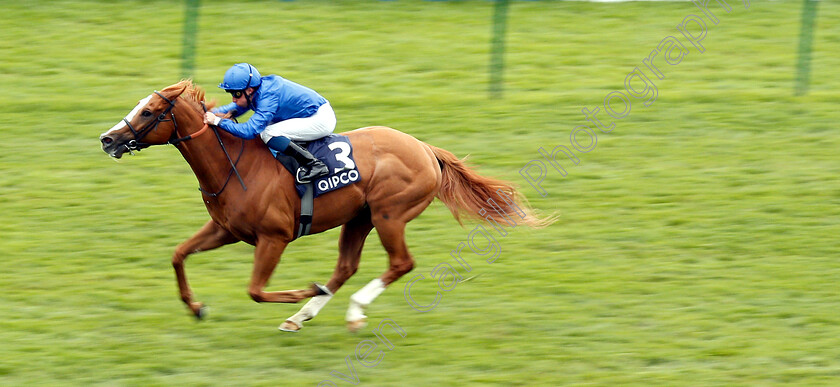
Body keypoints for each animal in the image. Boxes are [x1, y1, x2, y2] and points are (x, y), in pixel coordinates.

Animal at [98, 80, 548, 332]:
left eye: (149, 111)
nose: (108, 139)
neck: (235, 165)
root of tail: (424, 149)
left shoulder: (274, 237)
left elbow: (256, 290)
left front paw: (301, 291)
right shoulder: (226, 230)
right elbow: (178, 255)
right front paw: (195, 307)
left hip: (389, 214)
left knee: (401, 264)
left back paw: (349, 312)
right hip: (359, 218)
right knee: (346, 267)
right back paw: (303, 315)